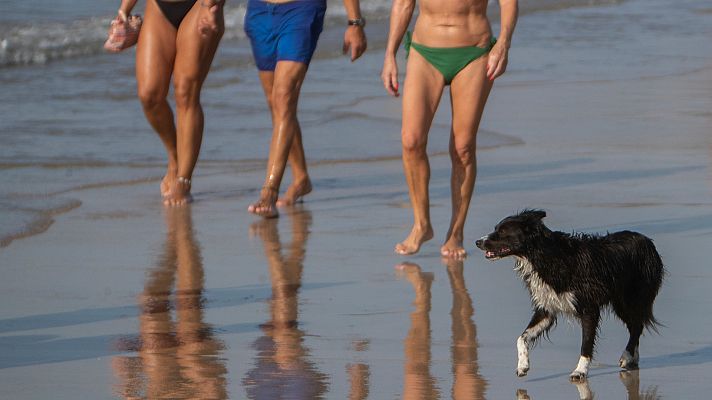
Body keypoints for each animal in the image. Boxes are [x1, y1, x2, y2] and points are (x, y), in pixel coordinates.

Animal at [476, 209, 664, 382]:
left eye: (502, 232)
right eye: (496, 228)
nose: (477, 242)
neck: (543, 256)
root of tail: (647, 241)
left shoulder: (589, 307)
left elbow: (586, 343)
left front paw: (580, 371)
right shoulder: (547, 308)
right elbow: (521, 338)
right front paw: (523, 366)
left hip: (629, 298)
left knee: (637, 326)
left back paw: (627, 355)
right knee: (635, 326)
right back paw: (633, 357)